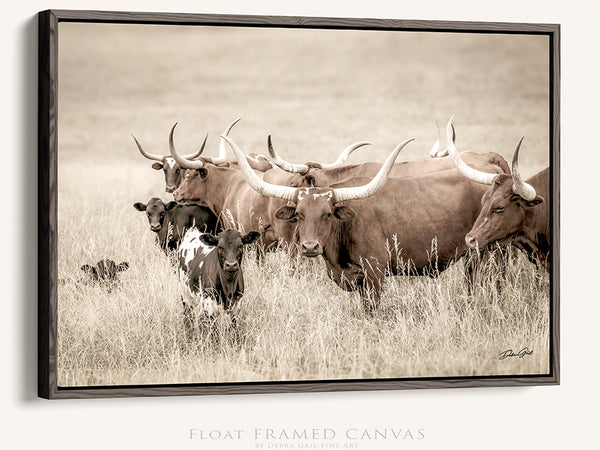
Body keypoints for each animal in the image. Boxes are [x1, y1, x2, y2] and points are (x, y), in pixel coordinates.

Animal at [223, 134, 508, 310]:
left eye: (327, 213)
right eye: (300, 213)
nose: (310, 247)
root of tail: (494, 171)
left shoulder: (375, 274)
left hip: (488, 254)